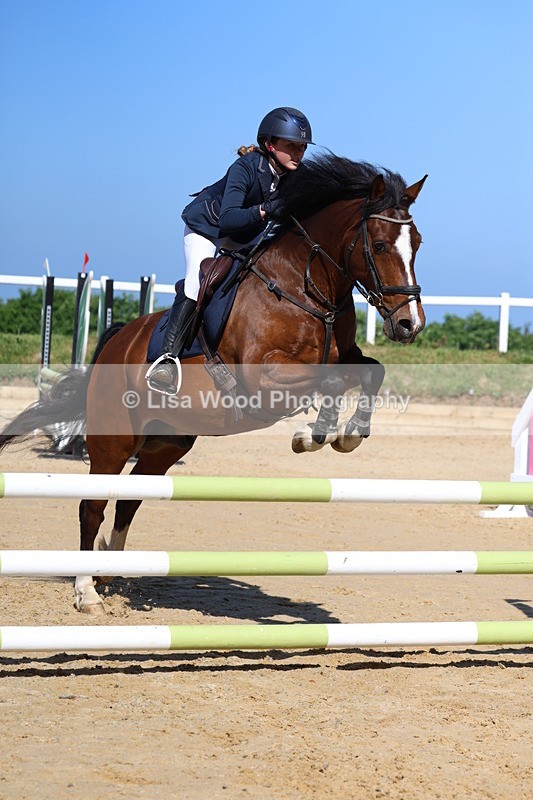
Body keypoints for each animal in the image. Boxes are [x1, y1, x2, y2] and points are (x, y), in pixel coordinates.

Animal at [0, 154, 427, 613]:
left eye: (417, 243)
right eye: (379, 245)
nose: (410, 324)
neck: (307, 286)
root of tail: (116, 340)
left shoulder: (343, 357)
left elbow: (371, 372)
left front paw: (348, 434)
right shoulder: (265, 374)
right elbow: (331, 382)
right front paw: (313, 435)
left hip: (165, 444)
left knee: (129, 500)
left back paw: (108, 570)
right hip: (113, 440)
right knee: (92, 504)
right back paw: (86, 592)